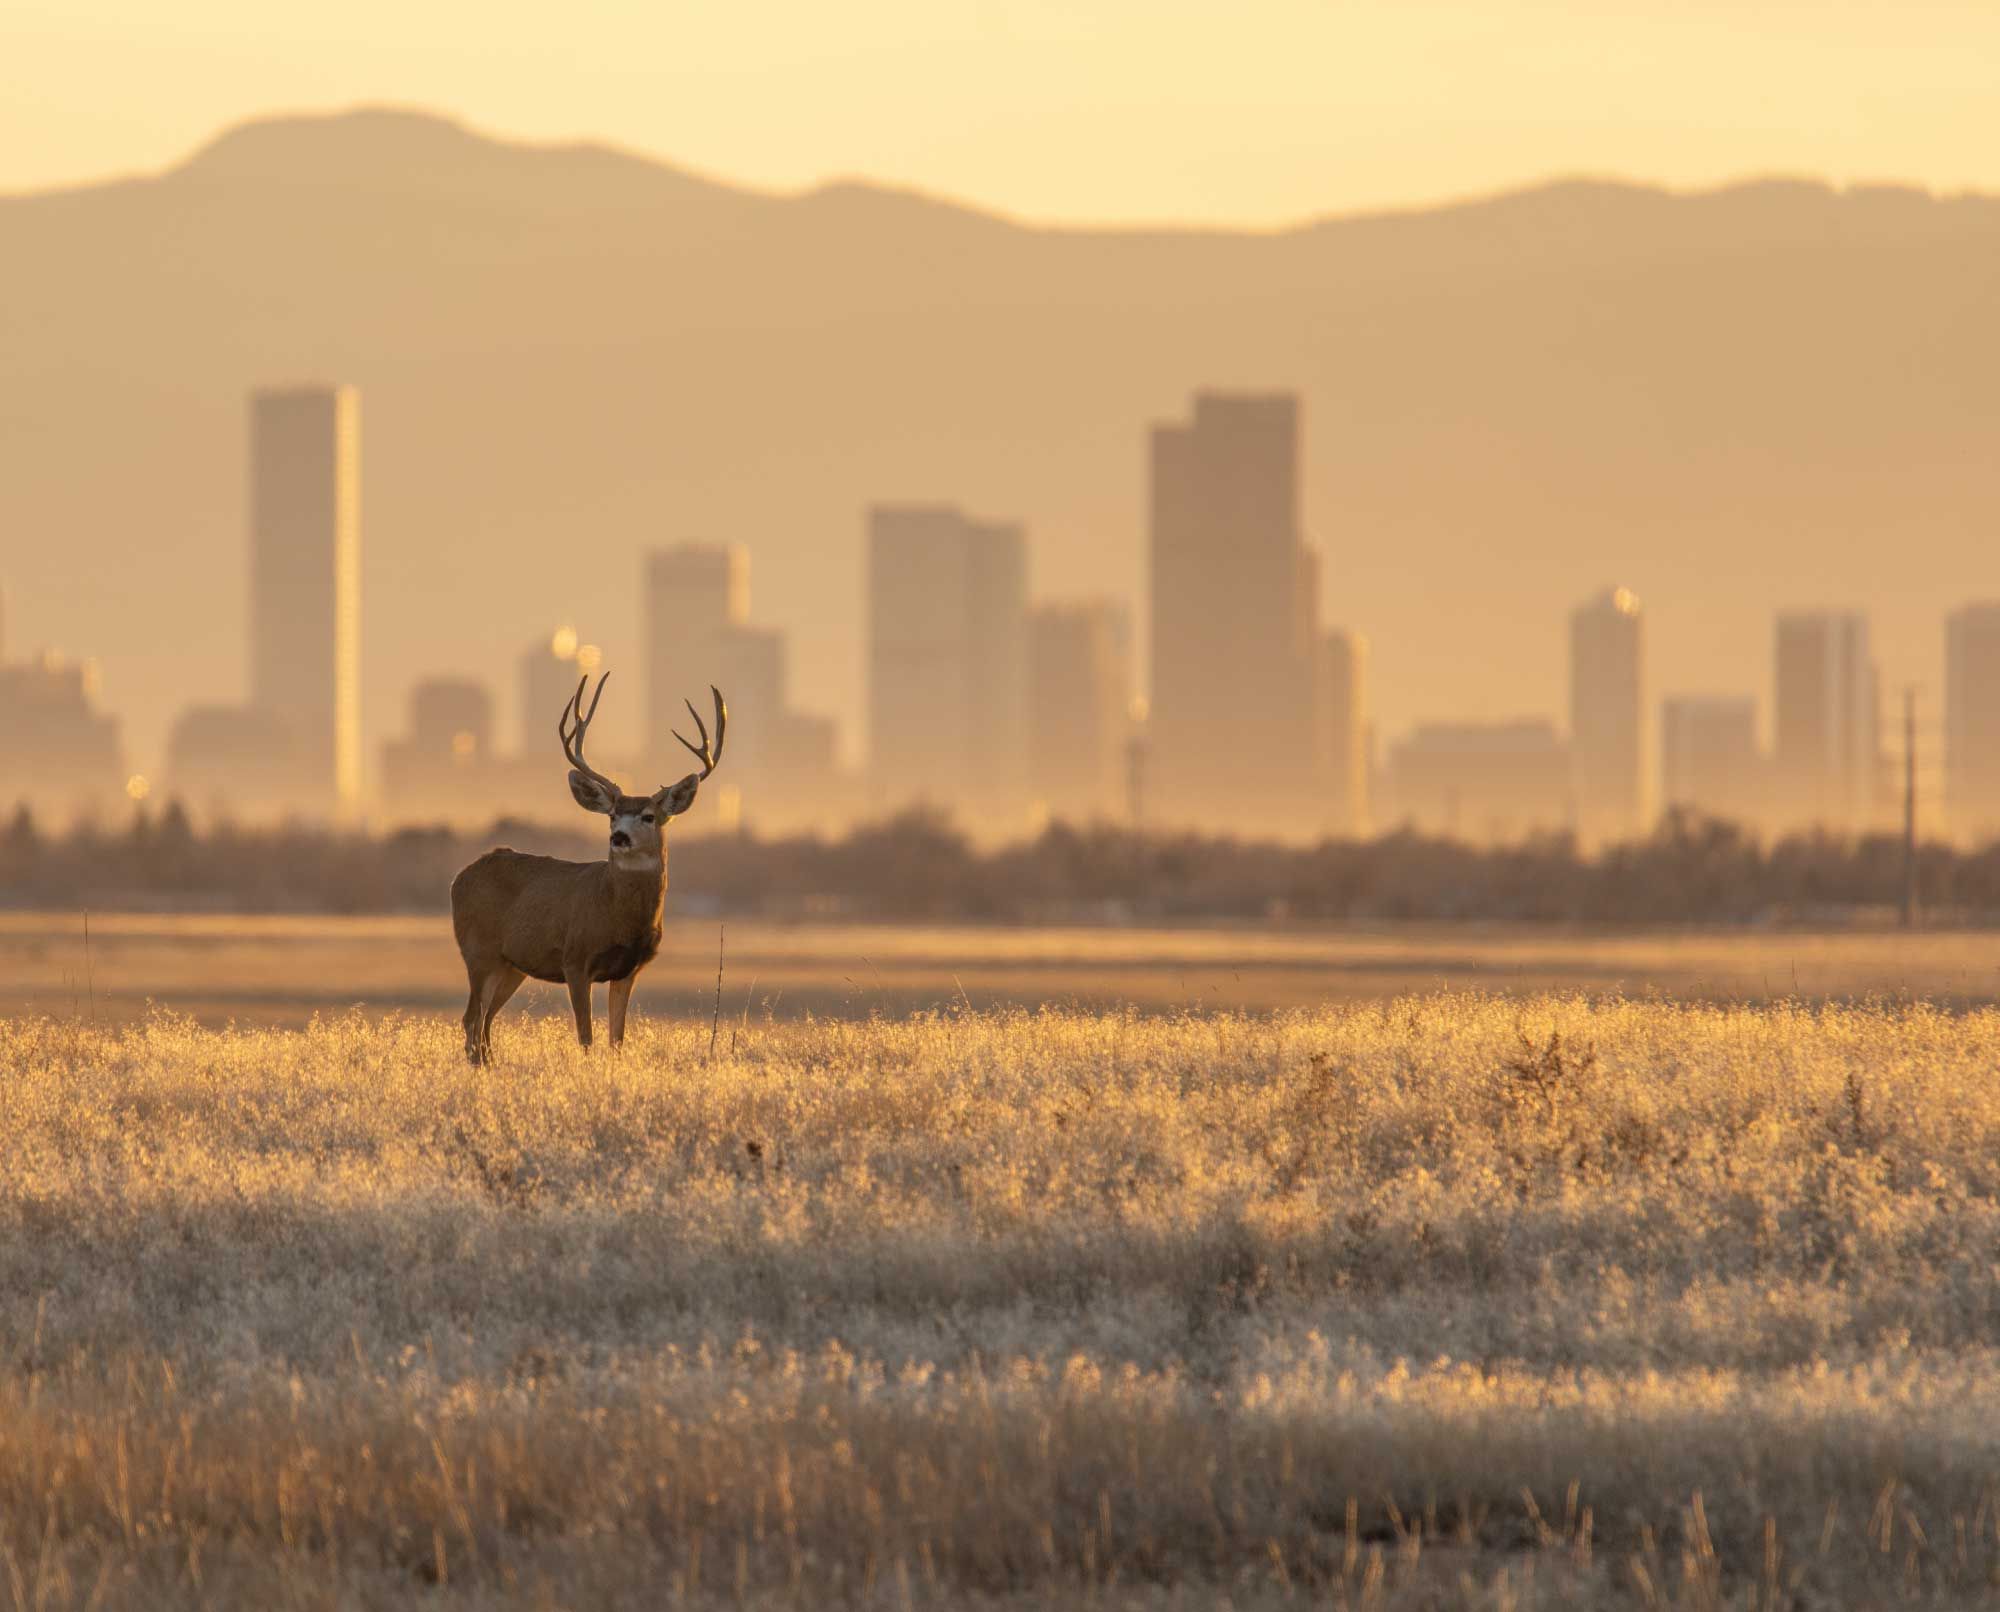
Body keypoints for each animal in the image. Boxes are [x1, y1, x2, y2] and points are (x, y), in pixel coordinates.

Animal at [450, 671, 726, 1063]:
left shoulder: (629, 969)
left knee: (486, 1020)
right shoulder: (576, 960)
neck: (617, 916)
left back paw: (490, 1065)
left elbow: (616, 1039)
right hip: (479, 950)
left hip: (511, 964)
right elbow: (586, 1036)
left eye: (649, 816)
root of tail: (458, 878)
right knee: (472, 1018)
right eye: (612, 814)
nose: (619, 837)